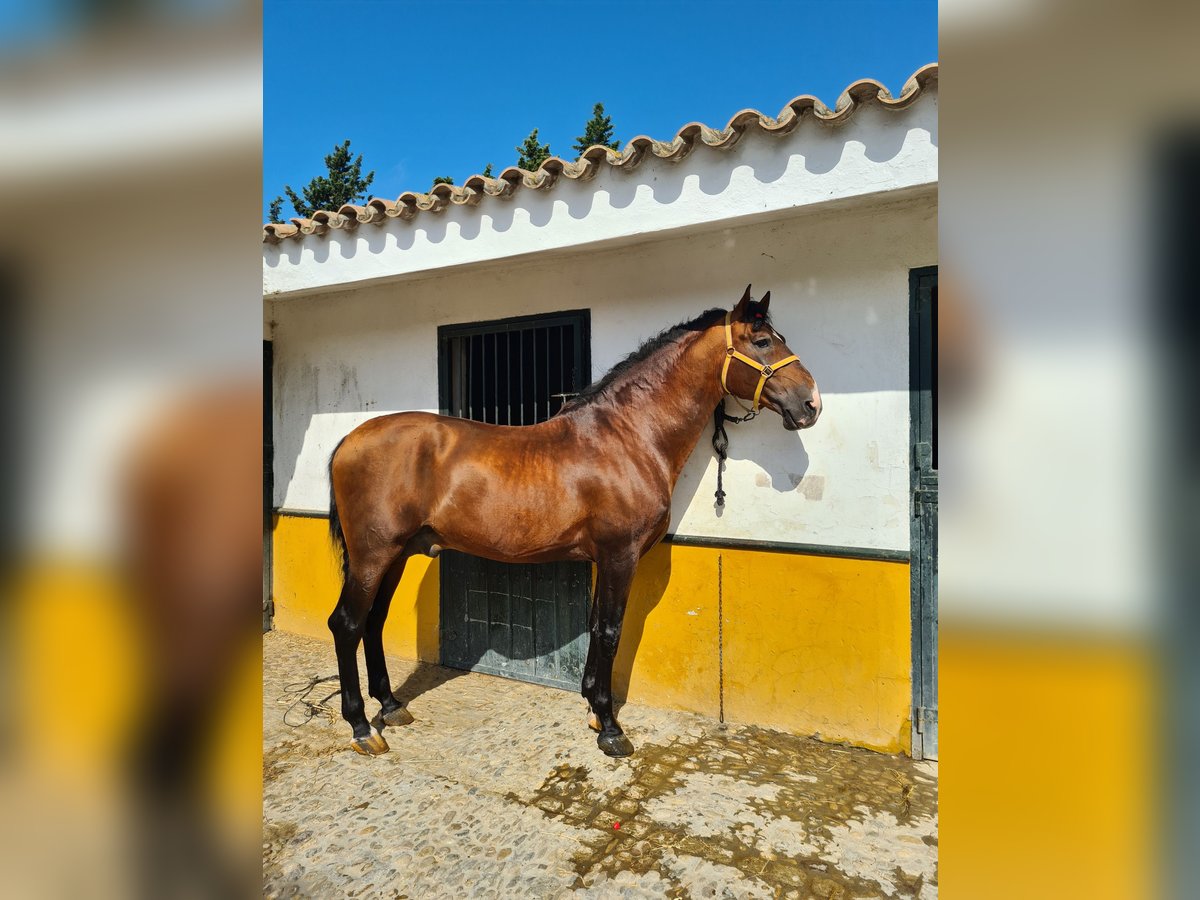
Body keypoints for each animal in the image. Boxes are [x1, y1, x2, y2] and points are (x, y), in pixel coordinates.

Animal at [324, 285, 820, 758]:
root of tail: (349, 438)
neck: (629, 437)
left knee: (373, 621)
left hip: (396, 555)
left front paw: (594, 711)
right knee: (347, 624)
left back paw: (391, 706)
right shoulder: (620, 556)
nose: (811, 403)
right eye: (762, 341)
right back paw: (362, 727)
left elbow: (598, 624)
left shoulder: (605, 558)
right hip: (373, 556)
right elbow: (610, 630)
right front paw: (612, 728)